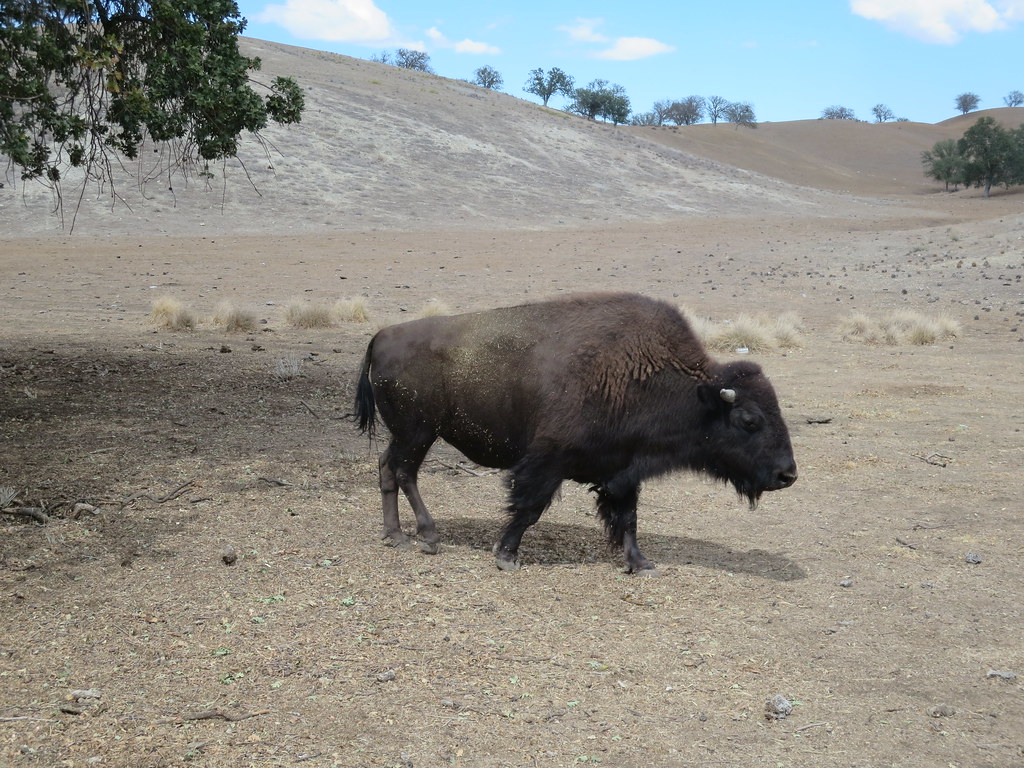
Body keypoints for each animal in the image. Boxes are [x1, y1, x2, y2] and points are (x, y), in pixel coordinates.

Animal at [355, 292, 796, 575]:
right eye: (749, 420)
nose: (787, 474)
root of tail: (383, 335)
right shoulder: (548, 460)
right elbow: (529, 507)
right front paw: (506, 556)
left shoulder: (623, 471)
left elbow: (628, 517)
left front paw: (641, 564)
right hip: (418, 433)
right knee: (405, 472)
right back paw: (428, 537)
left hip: (409, 434)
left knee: (387, 468)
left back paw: (395, 536)